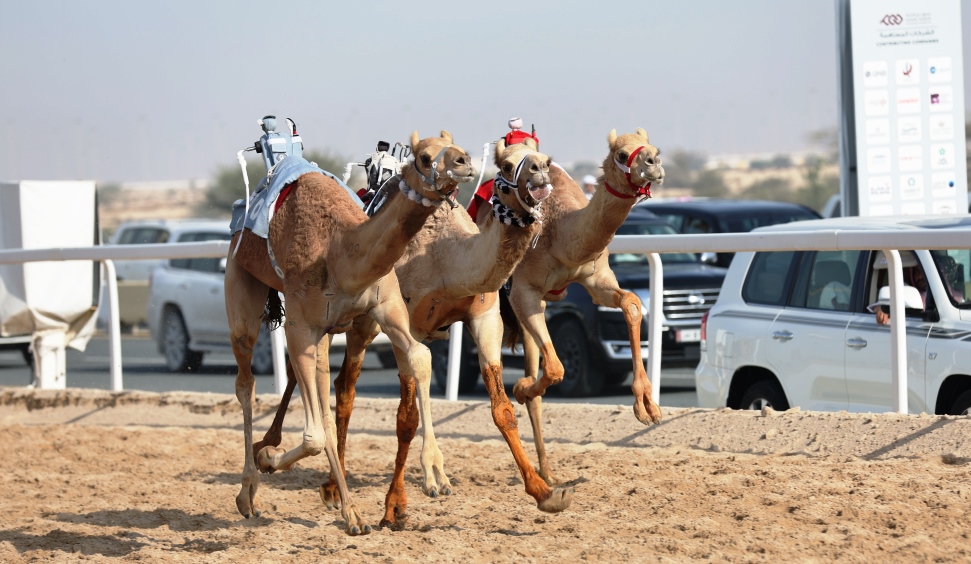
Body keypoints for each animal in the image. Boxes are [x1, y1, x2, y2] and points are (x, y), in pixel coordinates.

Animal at [224, 130, 474, 536]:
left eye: (457, 145)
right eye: (423, 157)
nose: (464, 163)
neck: (343, 253)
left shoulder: (386, 308)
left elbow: (420, 356)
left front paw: (436, 472)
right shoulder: (299, 326)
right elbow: (313, 434)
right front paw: (267, 458)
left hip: (327, 333)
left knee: (321, 400)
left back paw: (351, 513)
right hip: (241, 280)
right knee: (246, 380)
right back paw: (249, 491)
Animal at [482, 128, 664, 484]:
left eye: (654, 148)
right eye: (622, 155)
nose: (653, 163)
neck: (561, 234)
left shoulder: (595, 279)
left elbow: (632, 304)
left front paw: (647, 405)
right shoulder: (524, 291)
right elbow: (556, 368)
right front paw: (521, 388)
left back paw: (549, 473)